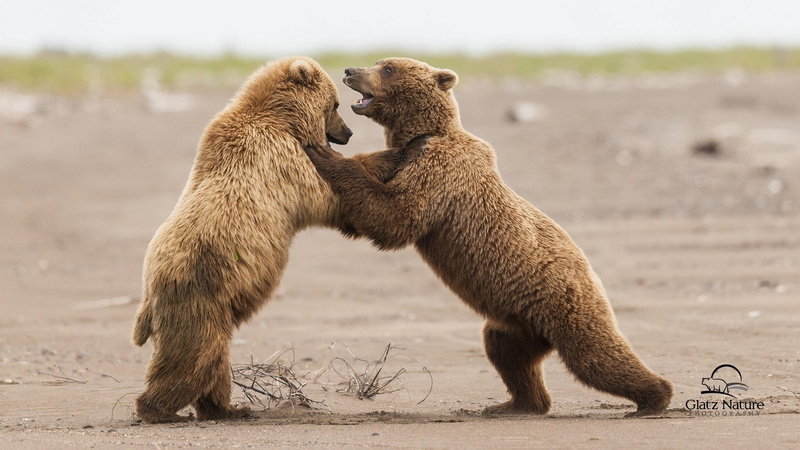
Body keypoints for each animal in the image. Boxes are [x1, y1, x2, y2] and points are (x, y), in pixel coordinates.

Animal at [132, 56, 426, 423]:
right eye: (335, 104)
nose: (347, 132)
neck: (284, 119)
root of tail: (147, 292)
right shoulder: (282, 158)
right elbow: (328, 192)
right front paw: (409, 147)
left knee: (215, 360)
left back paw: (228, 408)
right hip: (198, 294)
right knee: (192, 357)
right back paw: (160, 410)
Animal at [303, 57, 673, 417]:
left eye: (388, 68)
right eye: (379, 62)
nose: (350, 70)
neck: (427, 131)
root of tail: (591, 276)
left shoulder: (441, 173)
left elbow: (396, 216)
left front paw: (322, 152)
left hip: (566, 303)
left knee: (594, 357)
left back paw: (653, 399)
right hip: (515, 323)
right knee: (508, 356)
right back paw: (515, 404)